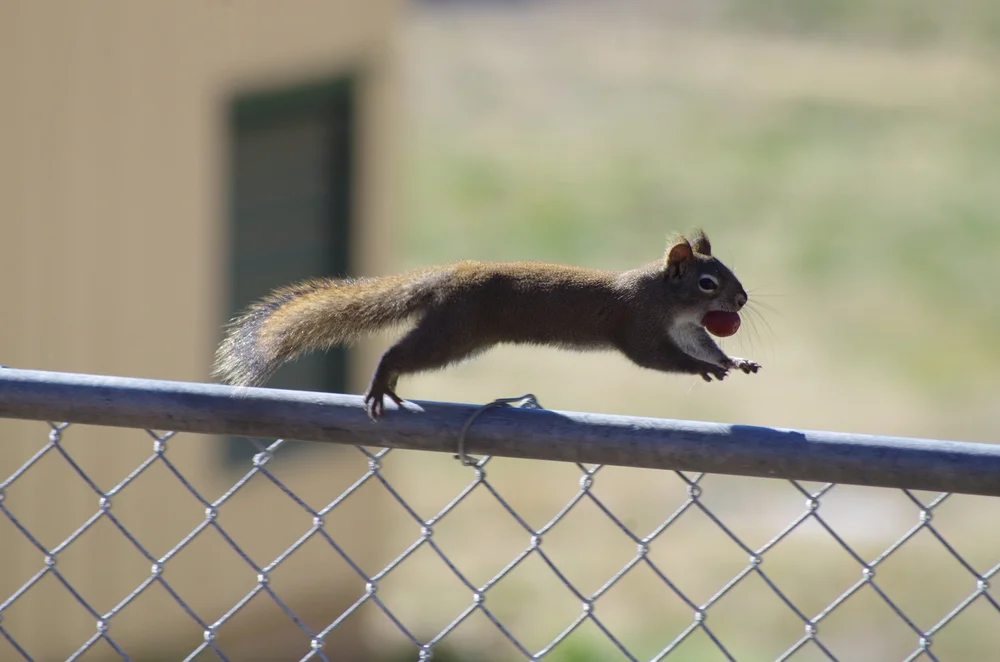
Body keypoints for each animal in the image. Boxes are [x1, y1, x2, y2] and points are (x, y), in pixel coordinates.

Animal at [213, 230, 761, 419]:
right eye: (708, 282)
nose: (742, 298)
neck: (666, 299)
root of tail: (451, 277)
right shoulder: (638, 326)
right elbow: (656, 358)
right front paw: (701, 371)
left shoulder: (686, 329)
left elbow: (703, 344)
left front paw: (733, 360)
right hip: (455, 333)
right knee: (397, 352)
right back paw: (383, 381)